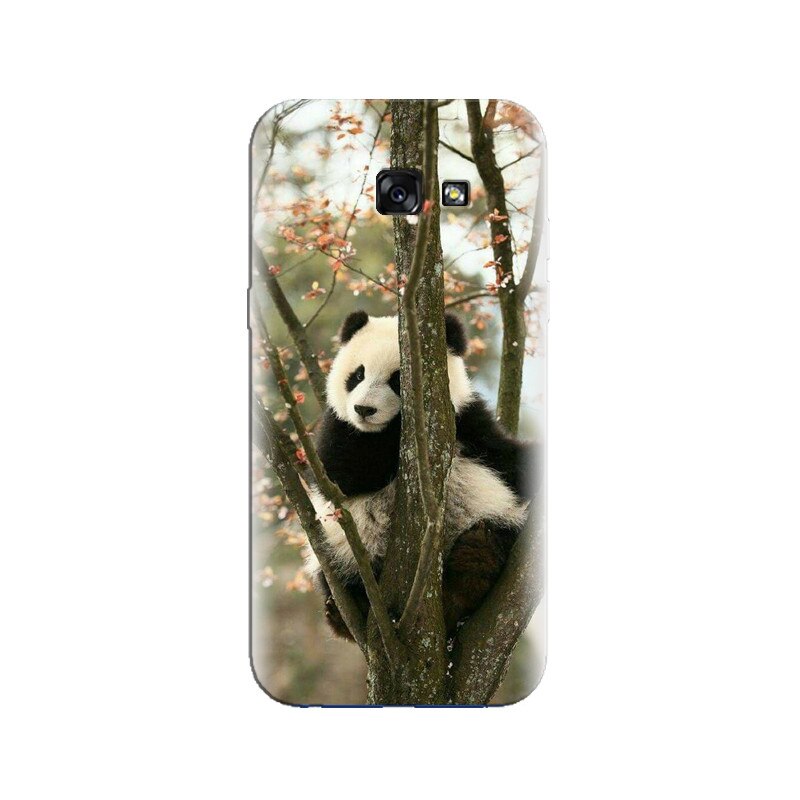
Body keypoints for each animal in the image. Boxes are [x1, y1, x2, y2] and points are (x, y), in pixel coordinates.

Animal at [304, 309, 538, 639]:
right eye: (358, 375)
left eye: (397, 380)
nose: (364, 409)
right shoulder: (338, 430)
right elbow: (342, 474)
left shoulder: (469, 423)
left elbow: (511, 462)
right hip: (342, 548)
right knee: (336, 574)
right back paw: (343, 612)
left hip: (492, 521)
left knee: (489, 540)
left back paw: (467, 579)